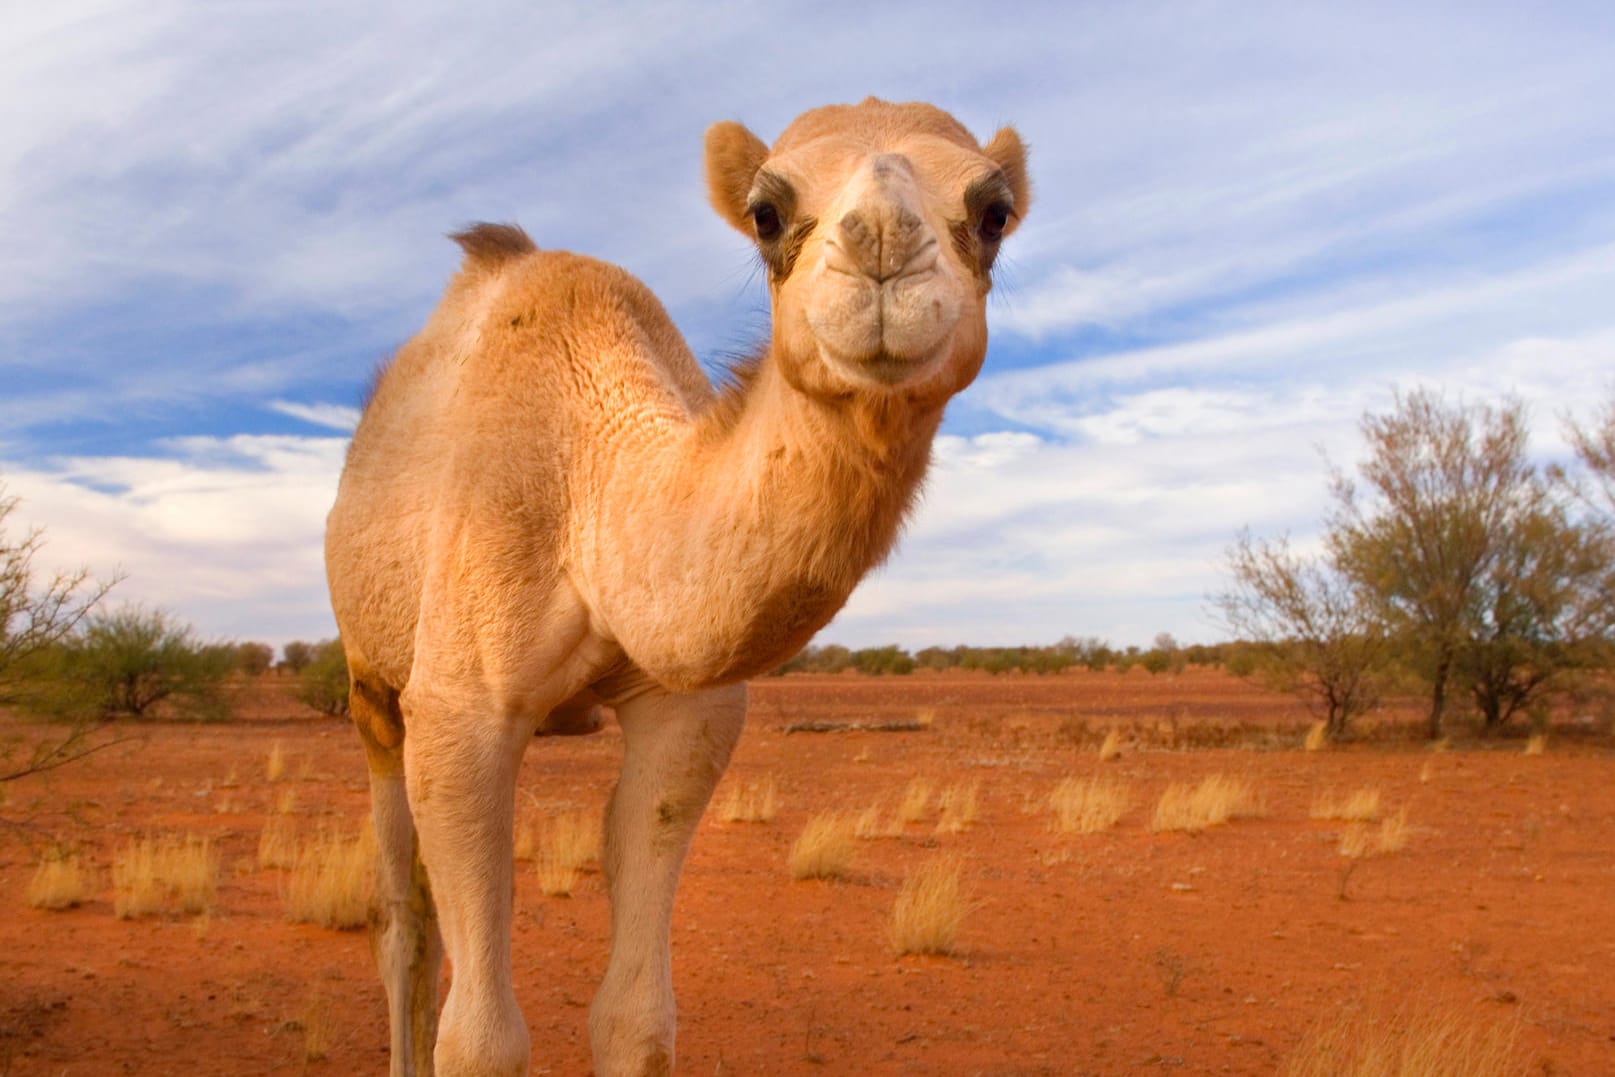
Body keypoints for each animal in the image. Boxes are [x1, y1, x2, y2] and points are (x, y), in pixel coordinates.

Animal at [326, 96, 1027, 1072]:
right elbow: (482, 1038)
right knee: (406, 925)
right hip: (371, 688)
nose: (883, 244)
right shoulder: (458, 709)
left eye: (994, 211)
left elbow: (635, 1014)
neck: (591, 492)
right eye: (766, 211)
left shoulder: (687, 714)